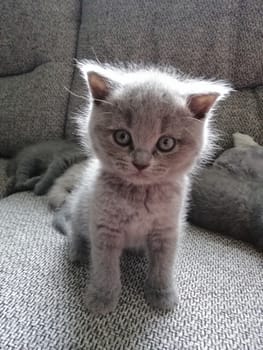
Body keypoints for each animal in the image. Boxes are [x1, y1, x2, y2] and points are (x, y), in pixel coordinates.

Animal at [54, 60, 232, 314]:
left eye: (166, 143)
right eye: (122, 137)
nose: (140, 162)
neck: (140, 196)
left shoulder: (167, 229)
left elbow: (163, 266)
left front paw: (162, 294)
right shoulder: (104, 226)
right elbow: (105, 265)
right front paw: (102, 297)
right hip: (82, 208)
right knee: (76, 232)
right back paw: (78, 253)